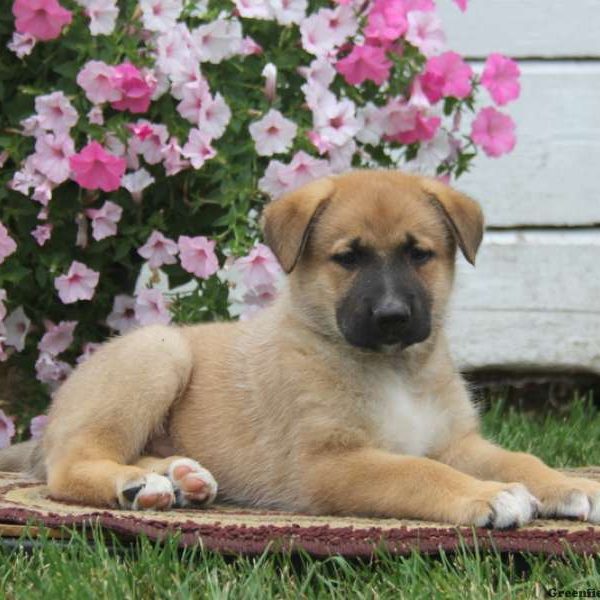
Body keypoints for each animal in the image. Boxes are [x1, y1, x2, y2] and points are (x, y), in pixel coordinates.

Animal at [1, 171, 600, 528]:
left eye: (418, 254)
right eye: (348, 258)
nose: (392, 316)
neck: (394, 371)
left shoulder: (454, 441)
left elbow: (518, 458)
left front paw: (569, 484)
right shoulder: (330, 462)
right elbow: (415, 473)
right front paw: (491, 496)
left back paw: (180, 477)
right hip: (158, 353)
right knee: (69, 466)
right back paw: (139, 485)